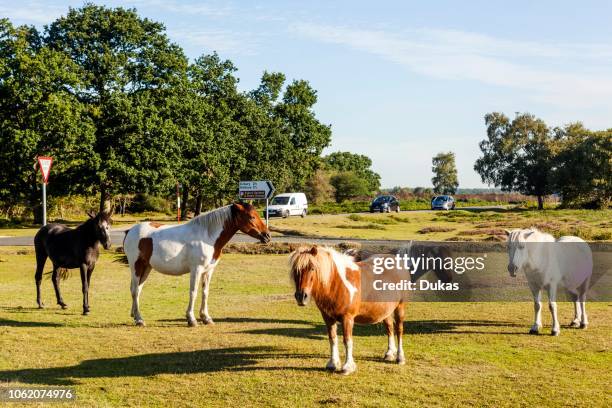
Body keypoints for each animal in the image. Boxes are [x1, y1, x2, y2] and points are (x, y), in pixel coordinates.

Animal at [123, 202, 268, 326]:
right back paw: (139, 319)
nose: (267, 236)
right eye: (251, 217)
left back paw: (134, 315)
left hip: (147, 267)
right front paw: (191, 319)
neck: (207, 237)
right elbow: (194, 292)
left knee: (137, 289)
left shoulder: (208, 271)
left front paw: (206, 318)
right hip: (136, 266)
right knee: (135, 290)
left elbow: (205, 292)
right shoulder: (196, 270)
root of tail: (130, 231)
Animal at [290, 245, 404, 376]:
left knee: (399, 330)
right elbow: (332, 338)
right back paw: (389, 353)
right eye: (295, 269)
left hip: (400, 307)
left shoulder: (347, 318)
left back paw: (400, 358)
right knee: (389, 328)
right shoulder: (328, 318)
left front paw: (348, 367)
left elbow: (347, 341)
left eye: (312, 268)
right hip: (386, 311)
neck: (337, 283)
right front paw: (332, 364)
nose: (301, 297)